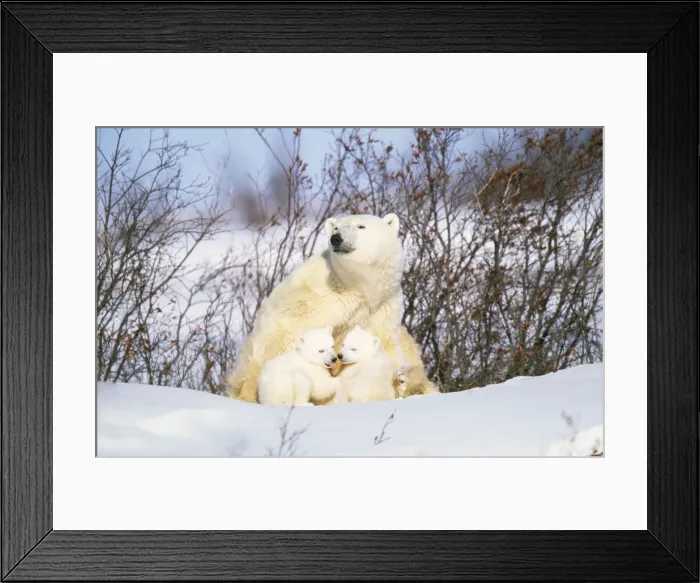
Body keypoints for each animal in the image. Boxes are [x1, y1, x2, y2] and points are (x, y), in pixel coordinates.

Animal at [226, 212, 438, 404]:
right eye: (337, 228)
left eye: (361, 226)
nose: (336, 239)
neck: (357, 286)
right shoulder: (315, 302)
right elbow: (292, 336)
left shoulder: (382, 307)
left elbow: (385, 343)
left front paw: (401, 380)